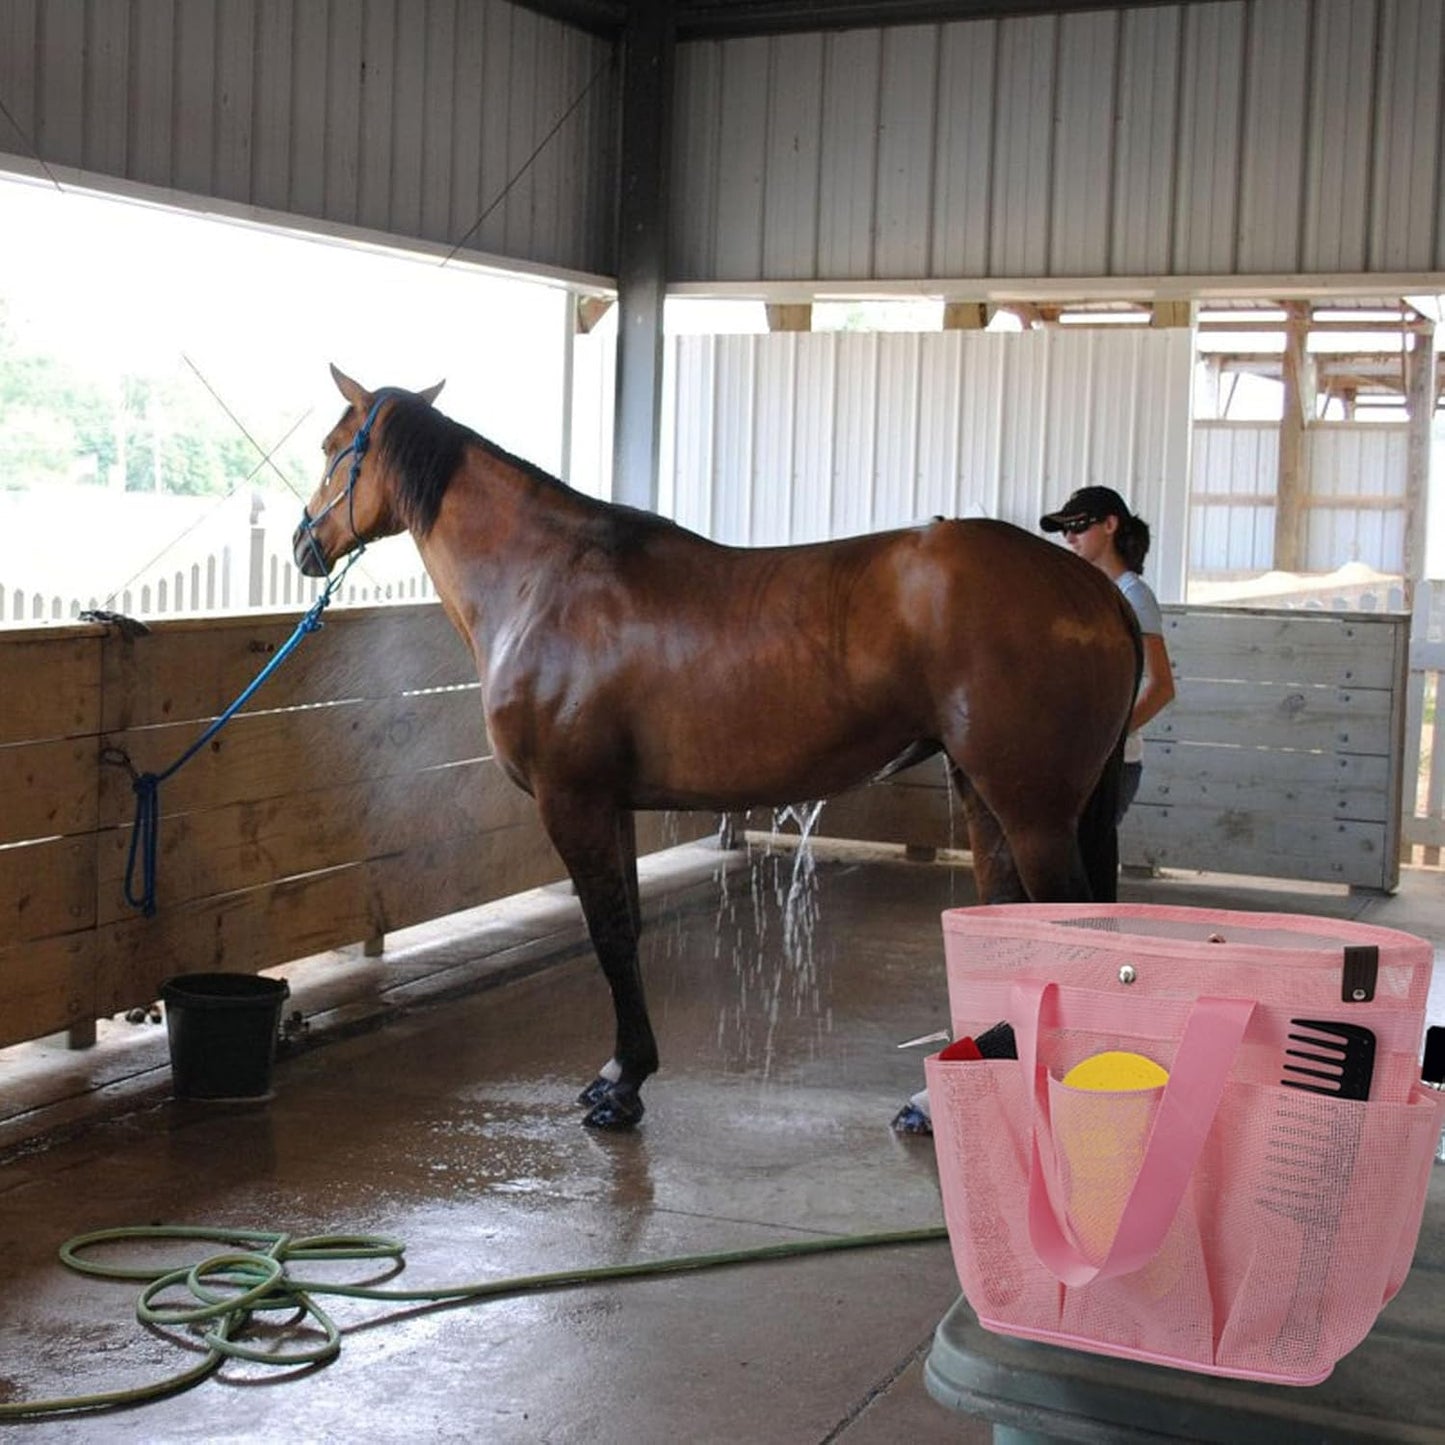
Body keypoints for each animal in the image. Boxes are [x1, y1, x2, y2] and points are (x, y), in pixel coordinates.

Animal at [294, 366, 1142, 1130]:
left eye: (334, 448)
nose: (306, 541)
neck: (543, 581)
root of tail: (1094, 592)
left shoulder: (572, 799)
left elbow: (607, 932)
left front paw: (620, 1086)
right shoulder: (612, 803)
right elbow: (627, 924)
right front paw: (626, 1072)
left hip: (1031, 807)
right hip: (985, 794)